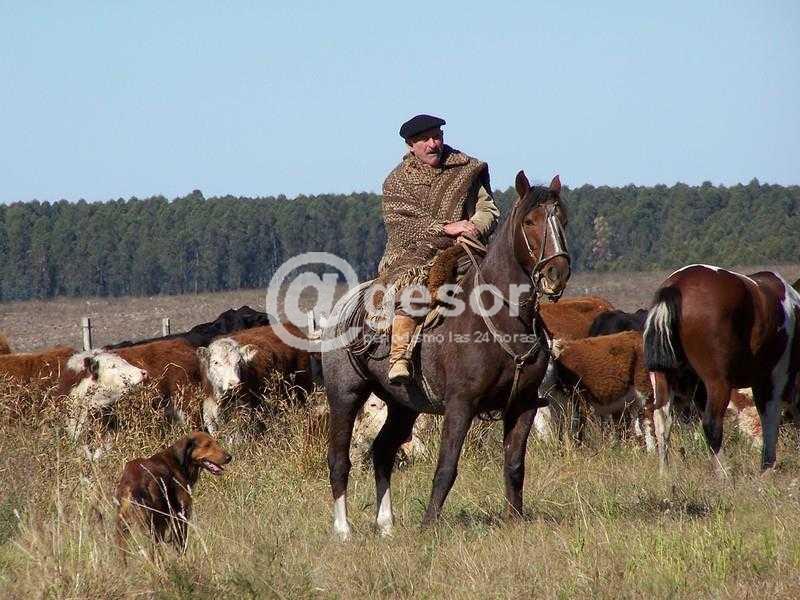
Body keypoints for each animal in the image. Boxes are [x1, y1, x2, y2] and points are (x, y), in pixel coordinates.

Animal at [320, 171, 570, 539]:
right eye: (530, 222)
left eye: (562, 220)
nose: (556, 274)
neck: (500, 316)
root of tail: (343, 308)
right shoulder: (460, 405)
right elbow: (447, 466)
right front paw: (429, 524)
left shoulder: (523, 404)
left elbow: (514, 465)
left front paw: (514, 519)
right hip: (345, 395)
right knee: (340, 459)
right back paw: (342, 529)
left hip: (402, 405)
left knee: (382, 452)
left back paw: (386, 525)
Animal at [643, 264, 800, 474]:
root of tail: (675, 285)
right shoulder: (774, 378)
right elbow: (770, 418)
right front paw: (767, 468)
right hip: (718, 382)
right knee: (712, 423)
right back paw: (724, 473)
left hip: (667, 380)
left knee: (662, 422)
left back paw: (665, 473)